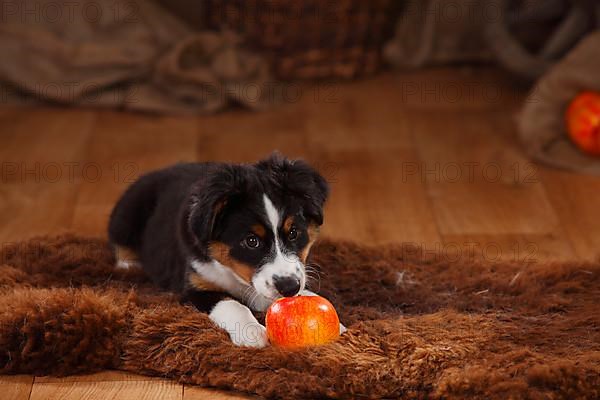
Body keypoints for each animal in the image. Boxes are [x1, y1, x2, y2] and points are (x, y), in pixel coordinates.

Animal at [107, 153, 342, 346]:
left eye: (293, 233)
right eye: (251, 241)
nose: (289, 287)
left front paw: (335, 322)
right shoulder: (195, 286)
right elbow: (231, 303)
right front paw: (251, 332)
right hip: (126, 214)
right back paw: (128, 265)